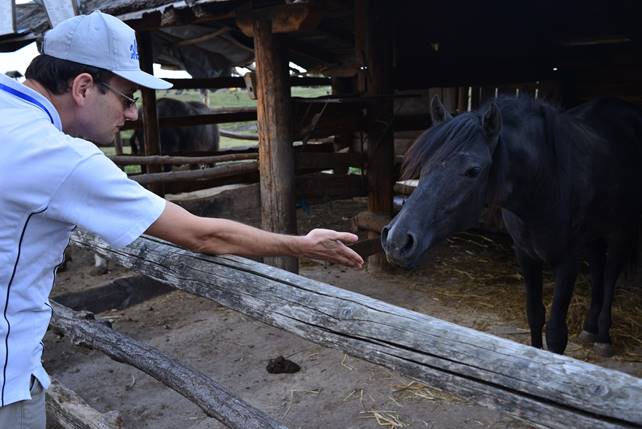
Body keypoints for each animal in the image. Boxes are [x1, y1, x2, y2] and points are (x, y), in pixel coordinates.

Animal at [380, 96, 640, 354]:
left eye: (473, 171)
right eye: (426, 162)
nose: (396, 241)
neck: (549, 182)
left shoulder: (569, 260)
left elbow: (556, 334)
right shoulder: (525, 254)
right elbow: (534, 316)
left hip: (619, 233)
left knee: (609, 275)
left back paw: (603, 337)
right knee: (598, 267)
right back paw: (589, 328)